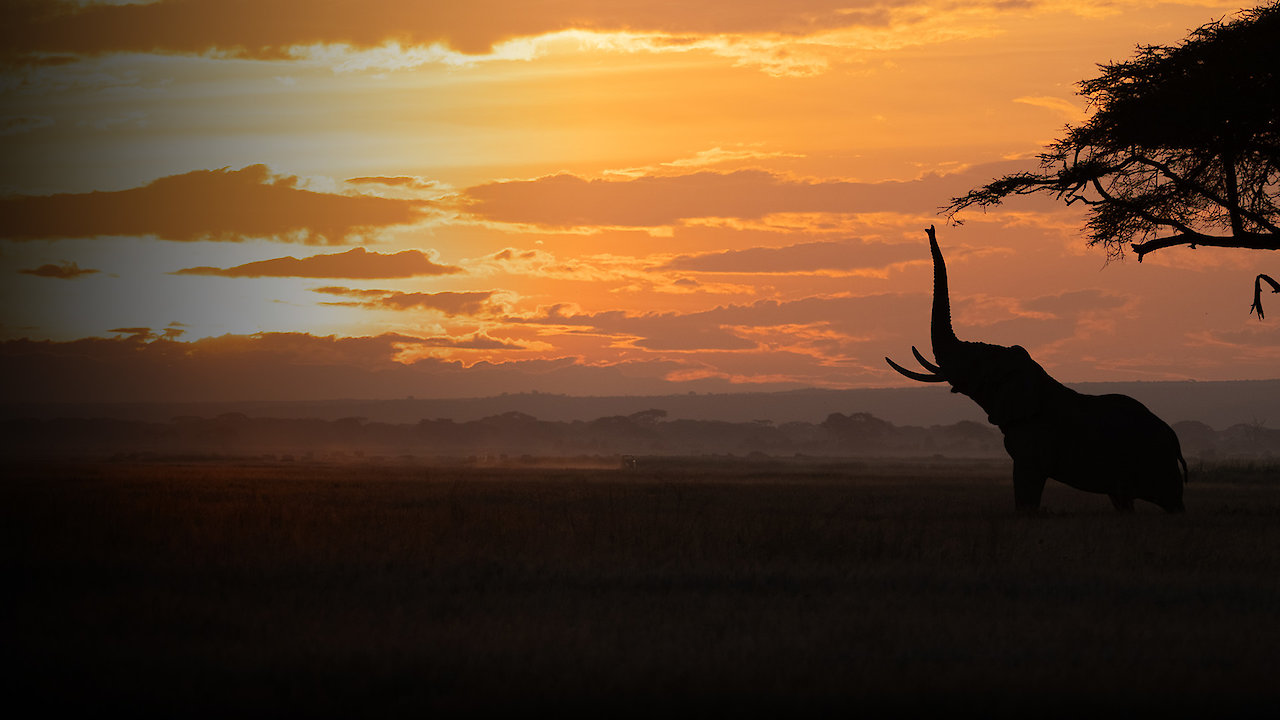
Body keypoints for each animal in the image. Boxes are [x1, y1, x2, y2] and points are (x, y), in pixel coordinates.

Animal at [886, 226, 1187, 513]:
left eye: (975, 362)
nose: (929, 229)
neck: (1031, 374)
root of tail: (1173, 438)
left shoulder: (1035, 438)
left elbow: (1026, 486)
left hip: (1154, 459)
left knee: (1170, 502)